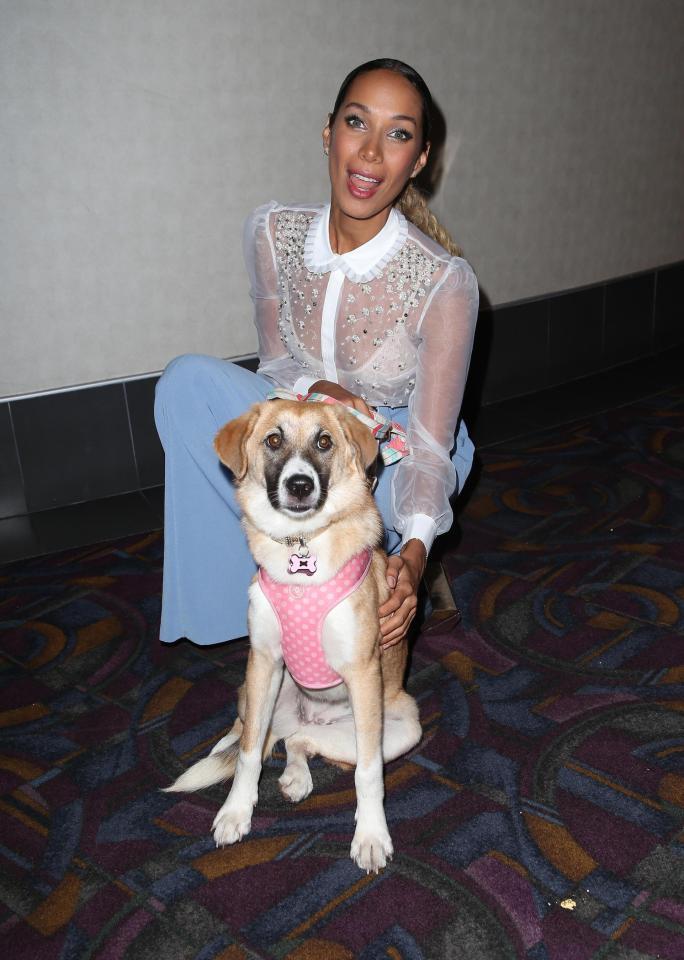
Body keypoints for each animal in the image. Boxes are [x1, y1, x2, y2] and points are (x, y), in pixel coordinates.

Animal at [166, 398, 422, 872]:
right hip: (257, 692)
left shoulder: (363, 674)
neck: (301, 545)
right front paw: (235, 811)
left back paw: (297, 776)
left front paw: (371, 835)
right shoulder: (264, 661)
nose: (300, 486)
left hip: (395, 728)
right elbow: (249, 754)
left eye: (324, 442)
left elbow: (368, 775)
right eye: (272, 440)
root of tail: (312, 716)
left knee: (302, 741)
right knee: (265, 734)